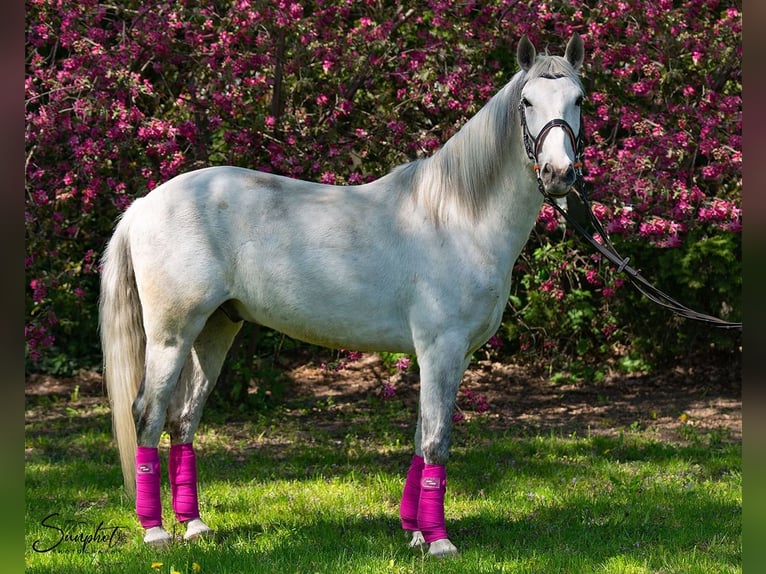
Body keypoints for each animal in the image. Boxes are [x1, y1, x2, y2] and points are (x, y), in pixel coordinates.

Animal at [99, 32, 584, 560]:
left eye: (579, 100)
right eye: (527, 101)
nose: (558, 173)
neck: (456, 216)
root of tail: (145, 204)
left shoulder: (442, 355)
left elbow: (420, 439)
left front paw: (414, 533)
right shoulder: (442, 349)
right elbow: (436, 441)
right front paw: (439, 542)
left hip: (215, 329)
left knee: (184, 419)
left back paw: (194, 525)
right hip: (171, 335)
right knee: (148, 415)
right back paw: (156, 532)